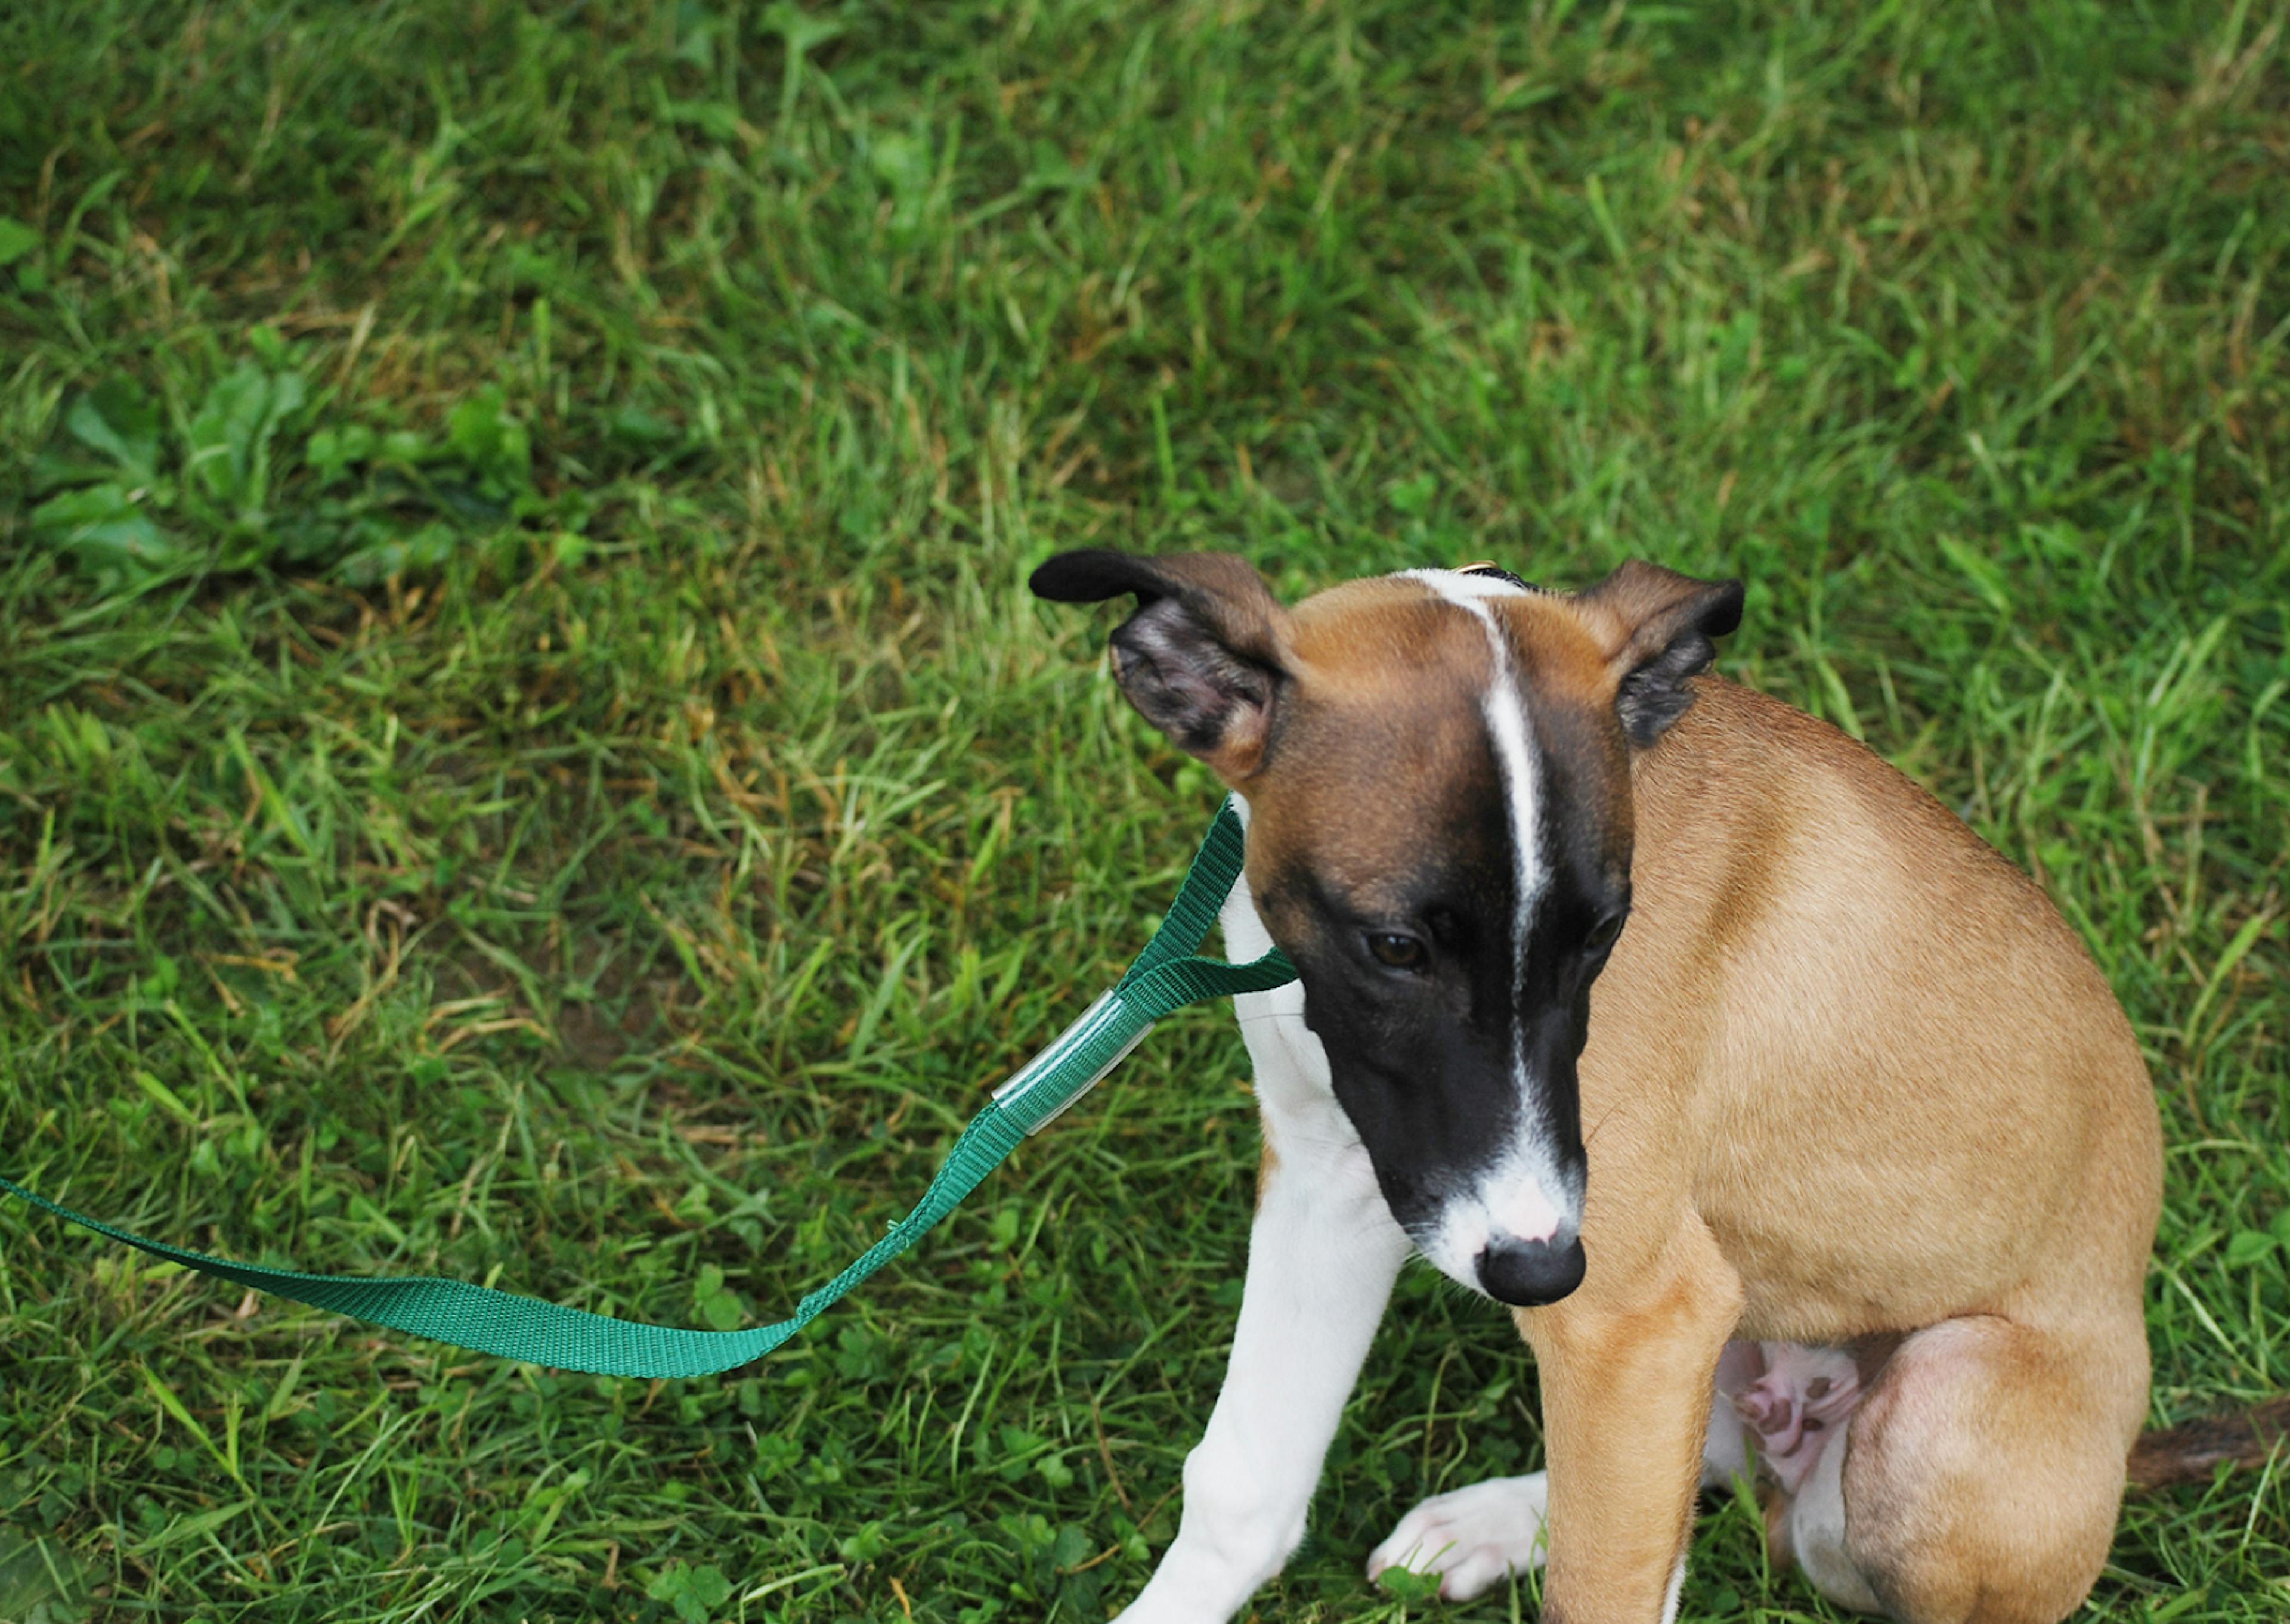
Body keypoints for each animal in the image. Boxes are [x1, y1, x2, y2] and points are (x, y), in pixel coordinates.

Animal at [1035, 551, 2253, 1612]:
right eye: (1394, 946)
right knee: (1692, 1468)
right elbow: (1244, 1476)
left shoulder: (1630, 1306)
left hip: (1931, 1410)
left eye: (1605, 934)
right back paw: (1498, 1522)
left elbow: (1605, 1584)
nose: (1537, 1269)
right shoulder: (1344, 1171)